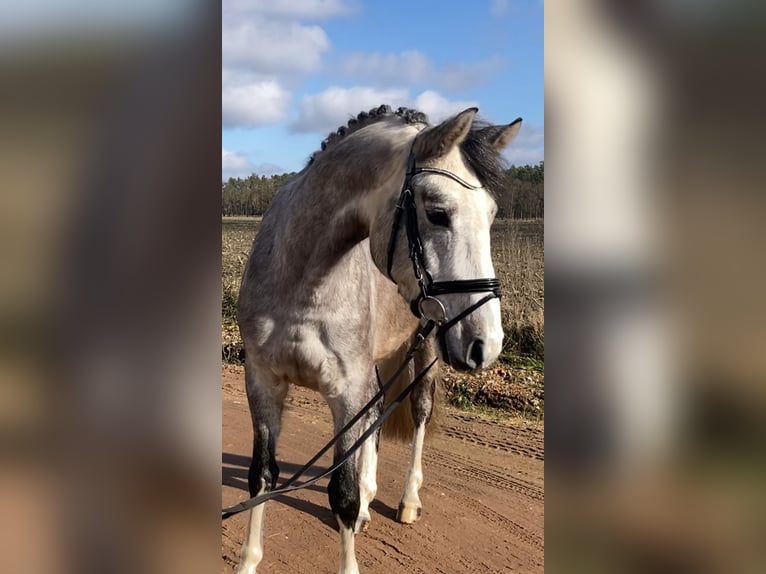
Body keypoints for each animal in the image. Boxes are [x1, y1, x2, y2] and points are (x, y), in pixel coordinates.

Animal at [234, 104, 520, 574]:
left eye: (493, 214)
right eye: (437, 212)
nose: (487, 344)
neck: (301, 284)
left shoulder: (347, 391)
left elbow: (342, 496)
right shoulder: (262, 382)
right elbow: (262, 476)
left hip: (424, 352)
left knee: (417, 414)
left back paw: (407, 501)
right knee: (378, 414)